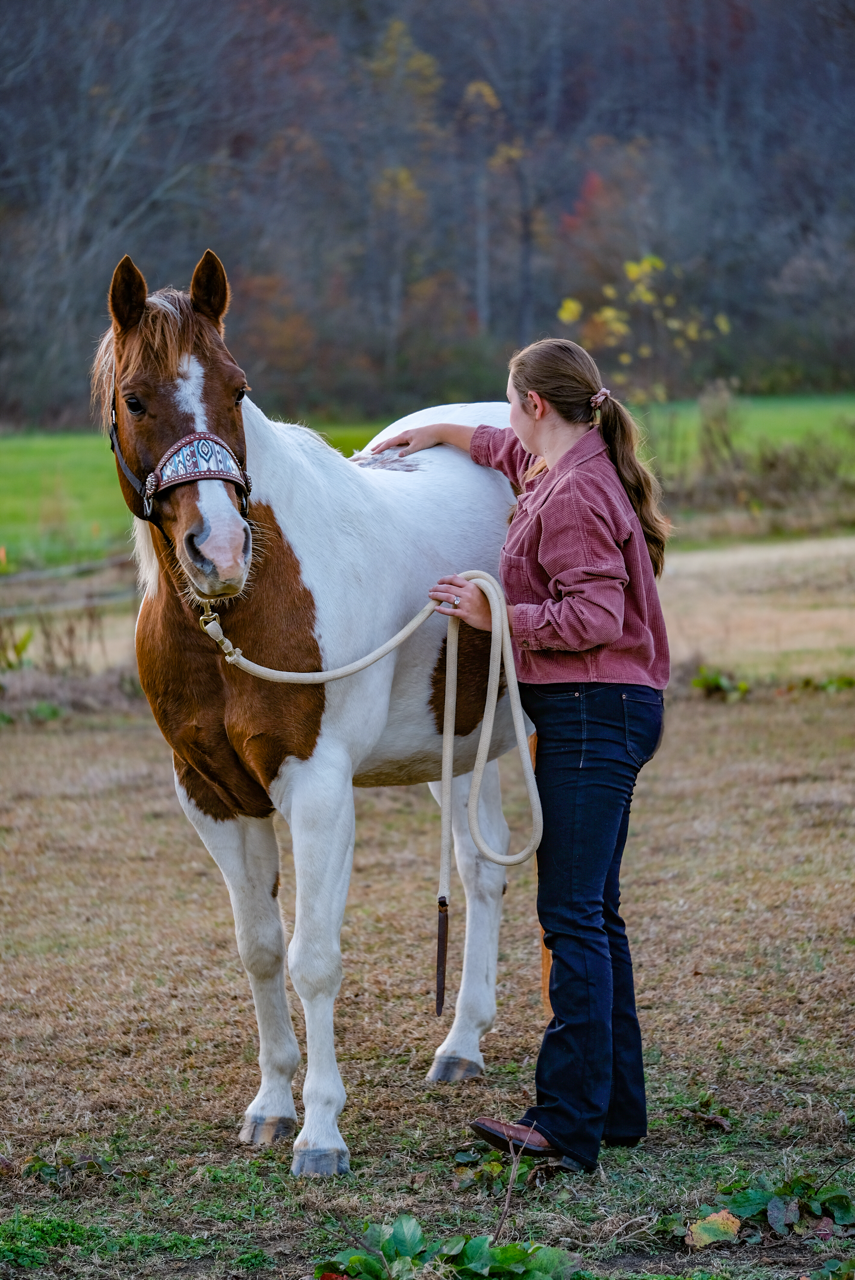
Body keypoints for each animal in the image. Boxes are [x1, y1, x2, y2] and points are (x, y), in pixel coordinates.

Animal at [92, 249, 525, 1177]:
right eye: (136, 398)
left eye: (237, 387)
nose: (219, 549)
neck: (241, 612)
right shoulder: (213, 795)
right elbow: (260, 950)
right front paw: (269, 1105)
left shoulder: (319, 789)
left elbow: (314, 957)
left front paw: (322, 1131)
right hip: (456, 746)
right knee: (481, 869)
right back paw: (460, 1046)